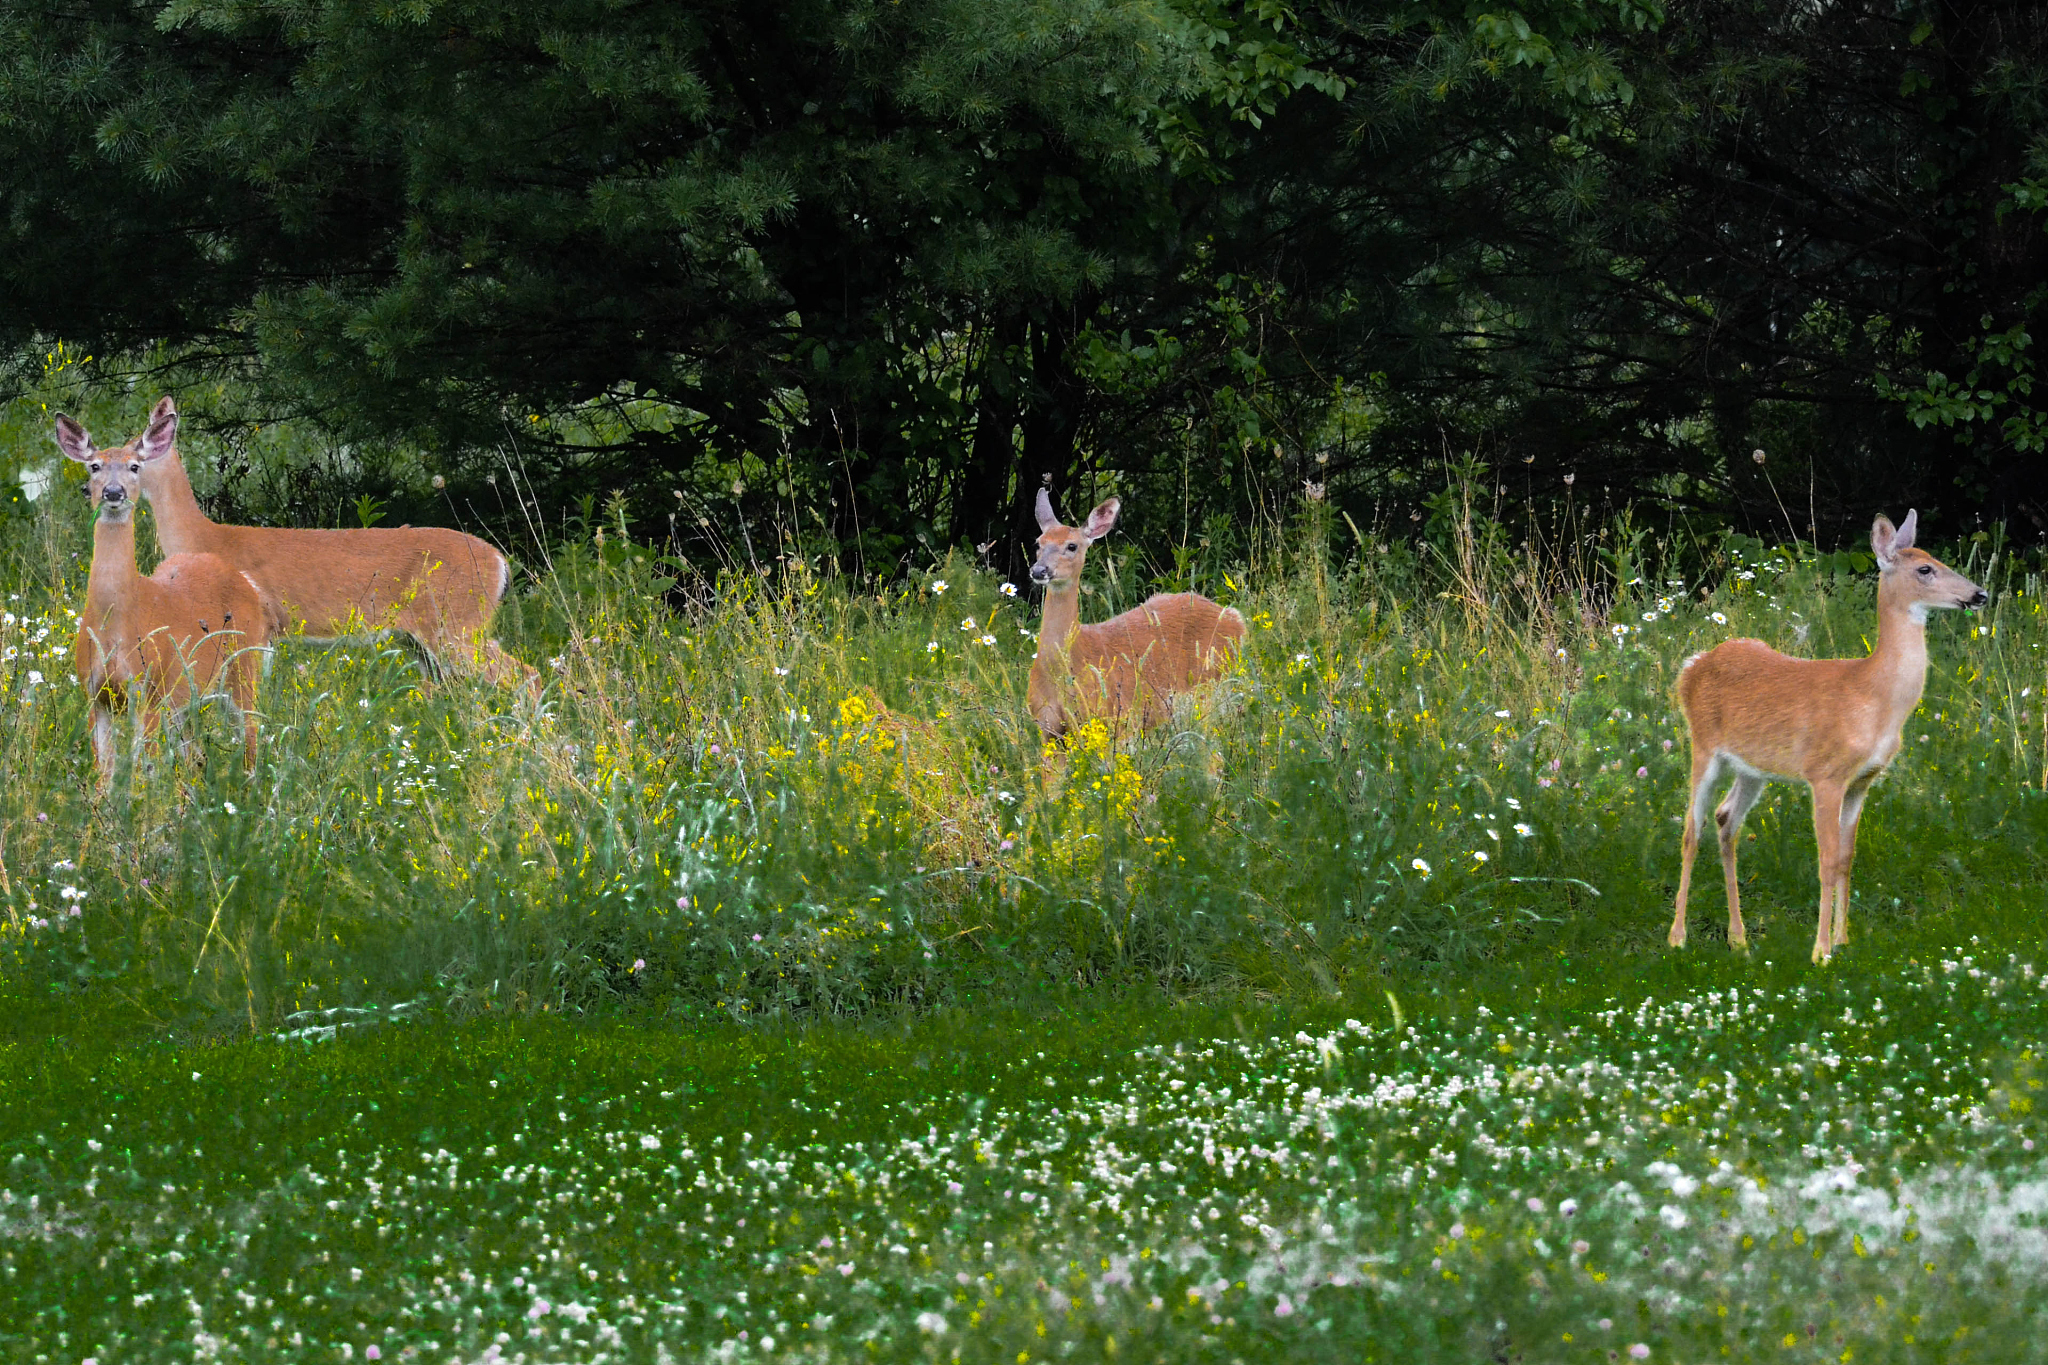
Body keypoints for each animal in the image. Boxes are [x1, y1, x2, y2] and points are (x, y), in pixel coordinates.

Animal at [56, 414, 271, 789]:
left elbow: (144, 773)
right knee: (195, 755)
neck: (116, 624)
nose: (114, 492)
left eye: (135, 466)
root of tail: (247, 582)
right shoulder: (95, 694)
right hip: (188, 694)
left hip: (244, 662)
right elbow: (104, 777)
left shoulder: (150, 689)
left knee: (252, 735)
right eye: (94, 466)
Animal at [127, 397, 536, 691]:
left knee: (526, 675)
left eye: (133, 457)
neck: (205, 538)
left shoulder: (255, 621)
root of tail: (500, 562)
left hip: (457, 622)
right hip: (428, 637)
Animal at [1026, 490, 1246, 739]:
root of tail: (1236, 618)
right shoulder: (1047, 729)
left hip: (1213, 687)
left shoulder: (1116, 717)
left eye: (1072, 546)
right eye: (1038, 543)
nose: (1039, 570)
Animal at [1669, 510, 1986, 964]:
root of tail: (1691, 665)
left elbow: (1846, 859)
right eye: (1925, 569)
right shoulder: (1825, 774)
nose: (1979, 594)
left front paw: (1843, 940)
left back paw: (1739, 939)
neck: (1873, 697)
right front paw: (1820, 952)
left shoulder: (1862, 781)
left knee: (1726, 819)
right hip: (1703, 745)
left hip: (1754, 768)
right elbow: (1826, 858)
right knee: (1690, 830)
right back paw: (1677, 938)